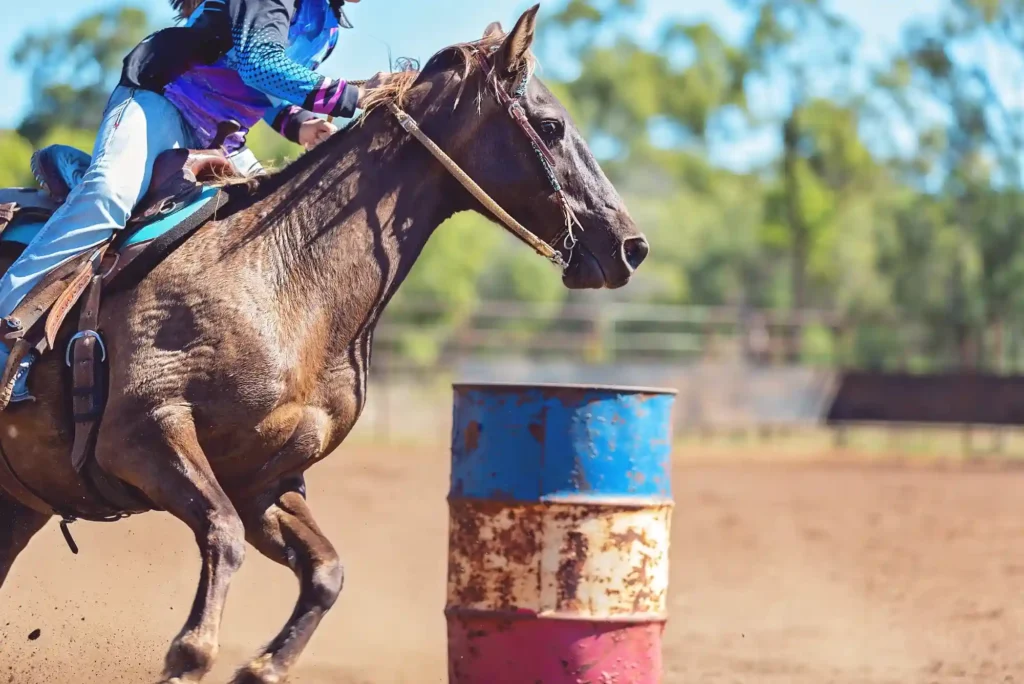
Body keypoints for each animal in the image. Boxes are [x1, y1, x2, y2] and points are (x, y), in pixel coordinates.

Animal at [0, 7, 648, 683]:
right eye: (551, 126)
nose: (631, 246)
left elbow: (325, 571)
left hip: (19, 503)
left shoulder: (264, 479)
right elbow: (223, 536)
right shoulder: (144, 434)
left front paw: (261, 667)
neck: (285, 276)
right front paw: (191, 655)